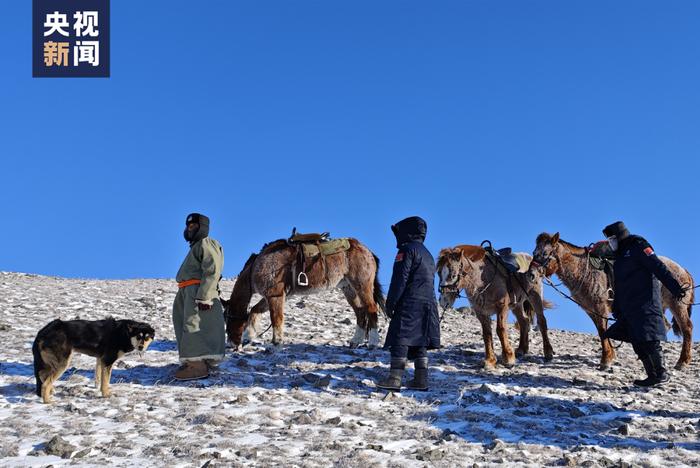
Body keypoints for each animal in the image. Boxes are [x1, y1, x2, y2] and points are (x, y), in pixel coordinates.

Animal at [224, 239, 386, 350]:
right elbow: (255, 310)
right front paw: (249, 335)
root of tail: (368, 251)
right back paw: (355, 342)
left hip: (362, 286)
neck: (256, 268)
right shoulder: (270, 296)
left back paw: (373, 343)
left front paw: (276, 343)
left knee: (371, 309)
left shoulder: (275, 295)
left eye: (230, 319)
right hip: (349, 289)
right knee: (360, 312)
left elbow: (276, 318)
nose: (231, 345)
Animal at [532, 232, 692, 372]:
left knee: (687, 328)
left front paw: (605, 361)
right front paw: (610, 356)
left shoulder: (600, 307)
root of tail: (684, 271)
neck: (584, 270)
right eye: (534, 252)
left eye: (544, 253)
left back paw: (682, 361)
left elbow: (603, 331)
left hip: (677, 305)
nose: (531, 274)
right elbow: (602, 331)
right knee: (665, 325)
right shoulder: (591, 310)